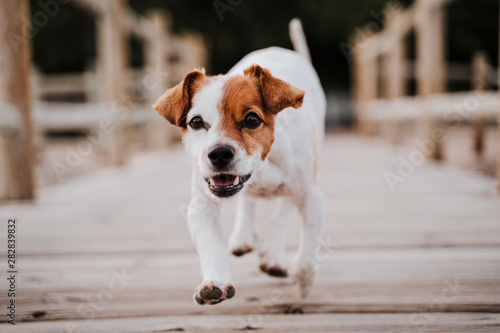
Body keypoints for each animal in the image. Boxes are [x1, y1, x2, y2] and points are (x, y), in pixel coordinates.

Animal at [152, 18, 326, 304]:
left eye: (252, 119)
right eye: (196, 122)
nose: (219, 153)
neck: (261, 170)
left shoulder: (311, 197)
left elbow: (307, 247)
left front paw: (304, 279)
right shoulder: (201, 206)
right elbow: (211, 245)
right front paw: (215, 282)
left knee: (283, 210)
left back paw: (273, 255)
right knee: (249, 203)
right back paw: (243, 237)